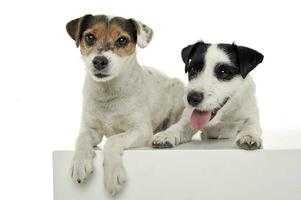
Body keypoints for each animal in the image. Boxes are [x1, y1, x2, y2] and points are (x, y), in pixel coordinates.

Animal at [65, 14, 183, 196]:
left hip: (178, 90)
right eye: (89, 37)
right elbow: (81, 139)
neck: (109, 93)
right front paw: (80, 162)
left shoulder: (141, 129)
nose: (99, 61)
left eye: (122, 40)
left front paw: (113, 175)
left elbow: (113, 141)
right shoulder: (90, 128)